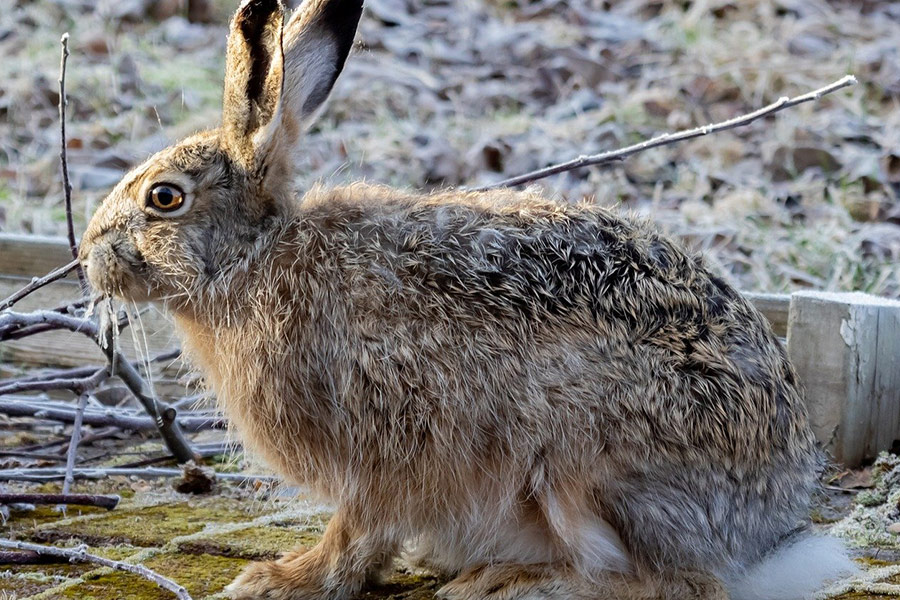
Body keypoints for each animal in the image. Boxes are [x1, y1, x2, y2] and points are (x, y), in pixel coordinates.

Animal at [78, 0, 857, 598]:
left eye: (164, 199)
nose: (87, 254)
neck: (253, 257)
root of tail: (765, 530)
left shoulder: (380, 448)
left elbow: (357, 533)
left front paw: (282, 580)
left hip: (584, 465)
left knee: (675, 584)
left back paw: (510, 583)